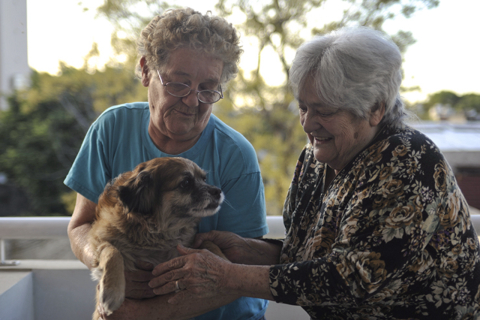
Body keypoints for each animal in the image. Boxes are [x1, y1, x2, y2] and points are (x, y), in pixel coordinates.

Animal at [88, 156, 225, 318]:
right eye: (185, 183)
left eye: (204, 179)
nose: (218, 191)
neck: (155, 232)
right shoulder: (98, 241)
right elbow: (113, 252)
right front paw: (112, 291)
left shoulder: (184, 246)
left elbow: (208, 243)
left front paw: (221, 261)